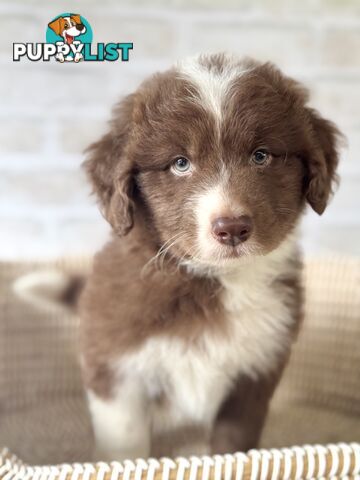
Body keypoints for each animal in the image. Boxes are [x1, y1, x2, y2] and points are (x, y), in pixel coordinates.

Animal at [79, 52, 344, 462]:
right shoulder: (113, 361)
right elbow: (125, 442)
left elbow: (233, 441)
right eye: (180, 163)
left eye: (261, 155)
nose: (232, 228)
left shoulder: (256, 373)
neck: (211, 281)